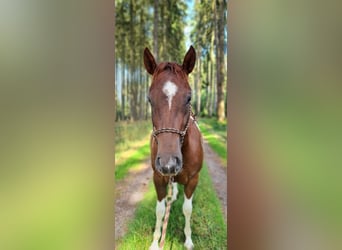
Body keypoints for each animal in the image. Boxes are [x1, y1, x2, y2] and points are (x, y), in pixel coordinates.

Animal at [144, 45, 203, 250]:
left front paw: (188, 239)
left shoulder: (193, 179)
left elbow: (187, 209)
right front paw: (155, 242)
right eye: (149, 99)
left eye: (189, 98)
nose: (168, 163)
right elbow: (160, 210)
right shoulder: (158, 178)